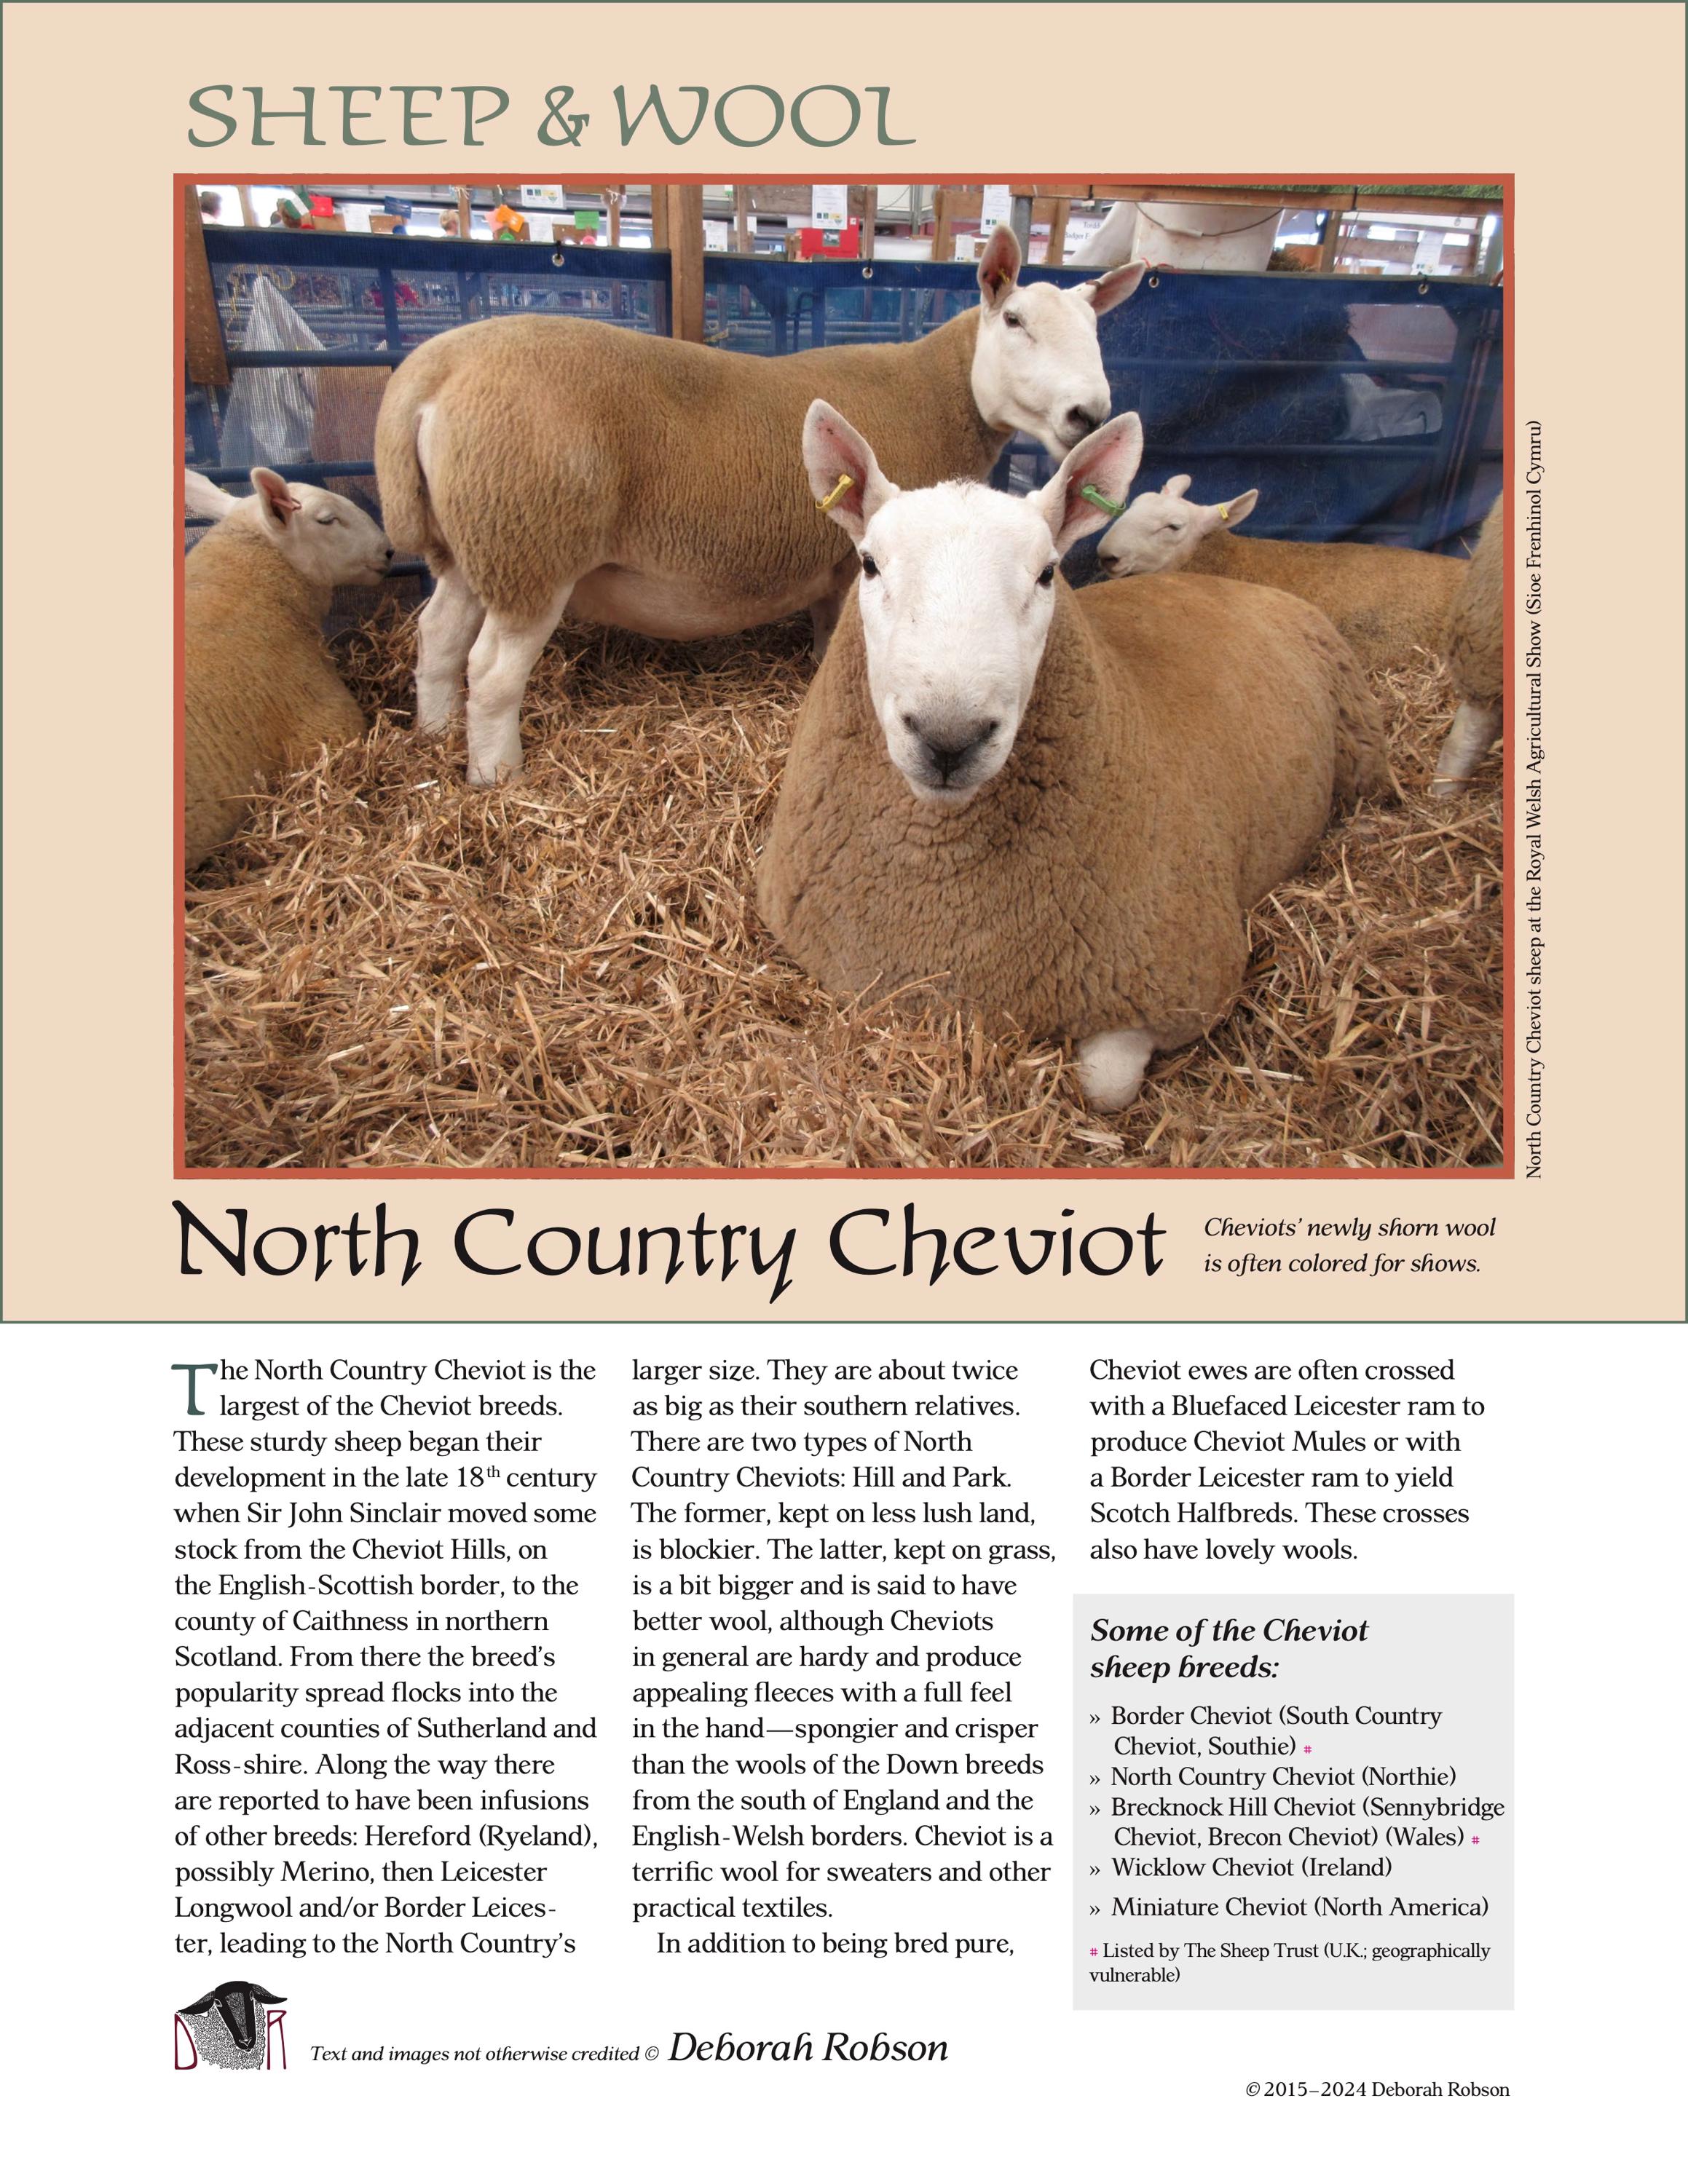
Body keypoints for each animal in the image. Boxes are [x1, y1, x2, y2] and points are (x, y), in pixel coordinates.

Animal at [374, 225, 1145, 785]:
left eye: (1096, 331)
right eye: (1014, 320)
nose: (1087, 412)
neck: (933, 393)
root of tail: (432, 370)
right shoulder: (852, 559)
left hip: (473, 545)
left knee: (438, 639)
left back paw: (432, 733)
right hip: (532, 546)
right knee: (491, 674)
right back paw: (497, 776)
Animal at [757, 402, 1385, 1113]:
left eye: (1047, 572)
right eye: (869, 565)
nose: (950, 737)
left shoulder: (1179, 978)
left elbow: (1104, 1085)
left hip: (1362, 747)